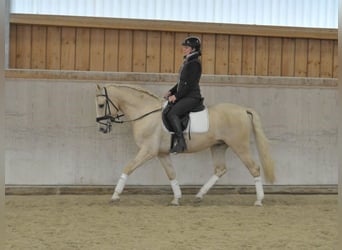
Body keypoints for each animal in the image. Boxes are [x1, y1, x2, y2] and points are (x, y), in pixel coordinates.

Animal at [95, 83, 276, 205]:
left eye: (101, 105)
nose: (102, 129)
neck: (146, 113)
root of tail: (243, 109)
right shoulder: (162, 153)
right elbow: (171, 174)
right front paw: (176, 198)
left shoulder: (148, 151)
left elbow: (127, 168)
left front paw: (115, 195)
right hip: (218, 146)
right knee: (220, 169)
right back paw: (199, 195)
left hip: (240, 146)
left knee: (254, 168)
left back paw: (259, 200)